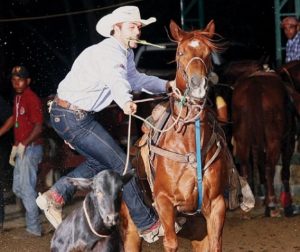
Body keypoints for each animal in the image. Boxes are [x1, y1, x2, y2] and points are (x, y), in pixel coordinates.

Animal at [139, 20, 240, 252]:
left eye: (208, 53)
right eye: (180, 52)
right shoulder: (164, 202)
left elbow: (216, 243)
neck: (188, 146)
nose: (197, 85)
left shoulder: (216, 204)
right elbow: (171, 242)